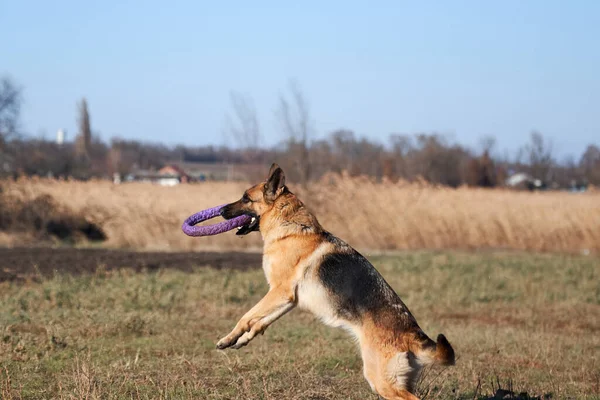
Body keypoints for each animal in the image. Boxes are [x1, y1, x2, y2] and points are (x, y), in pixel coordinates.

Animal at [217, 163, 454, 400]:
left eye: (246, 198)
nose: (220, 211)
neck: (290, 227)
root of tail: (413, 334)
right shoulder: (288, 299)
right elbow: (260, 321)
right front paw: (242, 340)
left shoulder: (279, 292)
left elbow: (246, 316)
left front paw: (227, 338)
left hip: (380, 379)